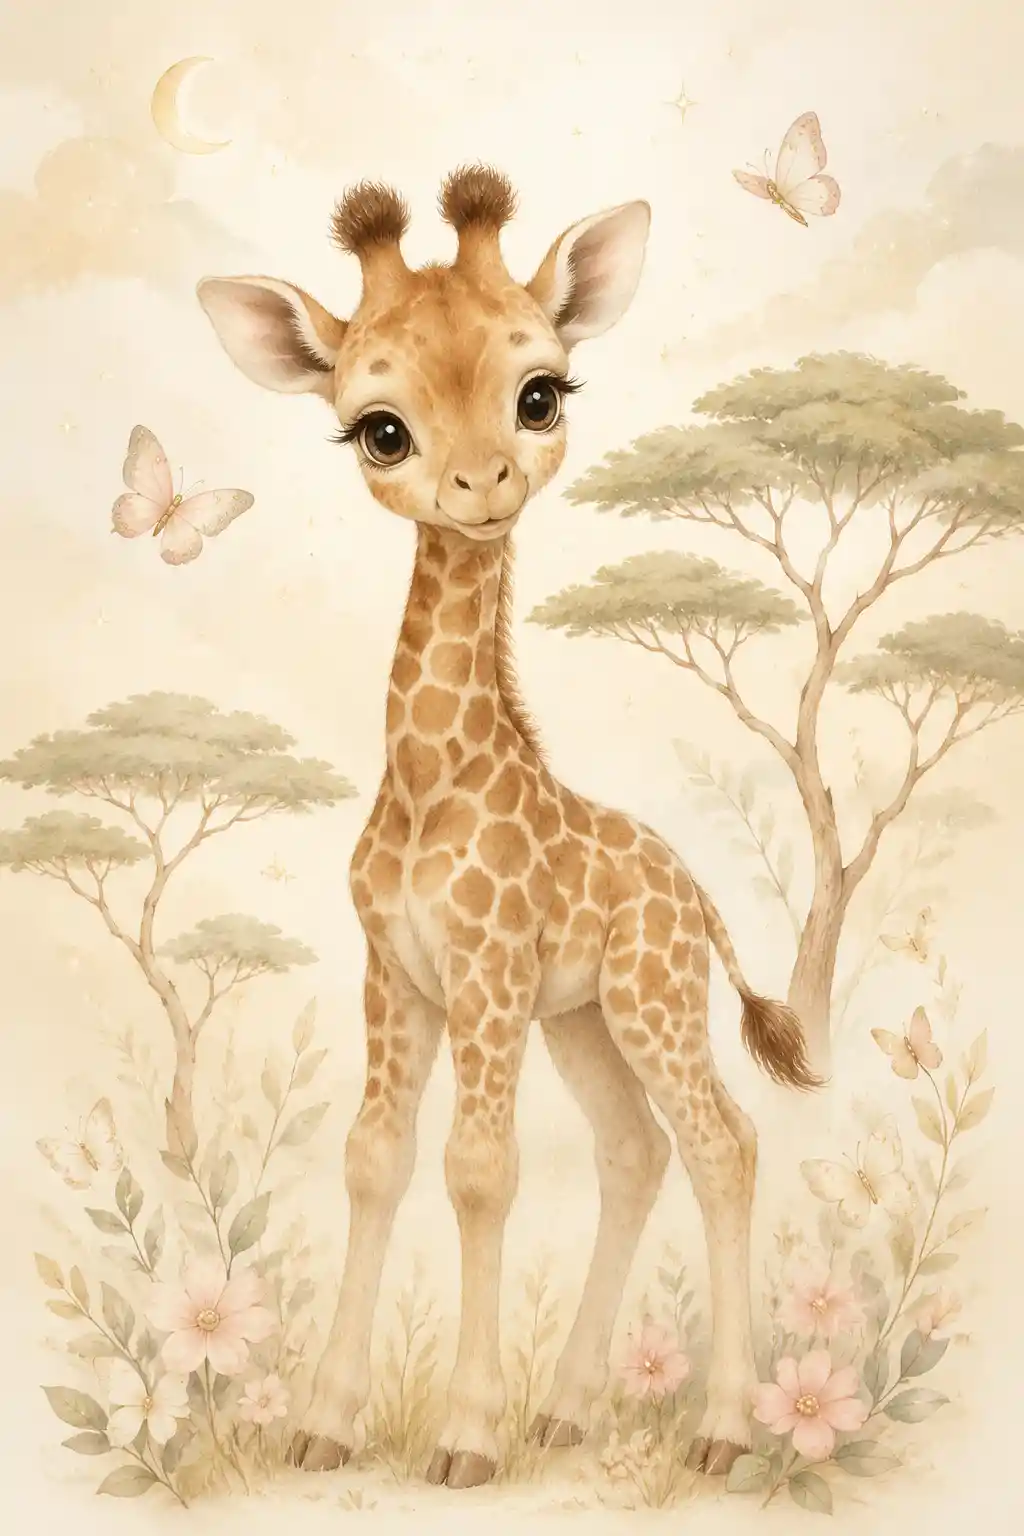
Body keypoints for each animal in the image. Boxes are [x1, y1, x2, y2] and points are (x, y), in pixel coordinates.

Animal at [196, 165, 819, 1491]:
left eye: (539, 394)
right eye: (379, 427)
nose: (480, 487)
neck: (431, 782)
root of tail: (694, 893)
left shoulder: (483, 974)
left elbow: (479, 1173)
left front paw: (466, 1438)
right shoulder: (397, 973)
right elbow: (374, 1160)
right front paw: (324, 1425)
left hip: (646, 998)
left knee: (723, 1142)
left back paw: (721, 1430)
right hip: (581, 1019)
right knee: (635, 1153)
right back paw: (573, 1411)